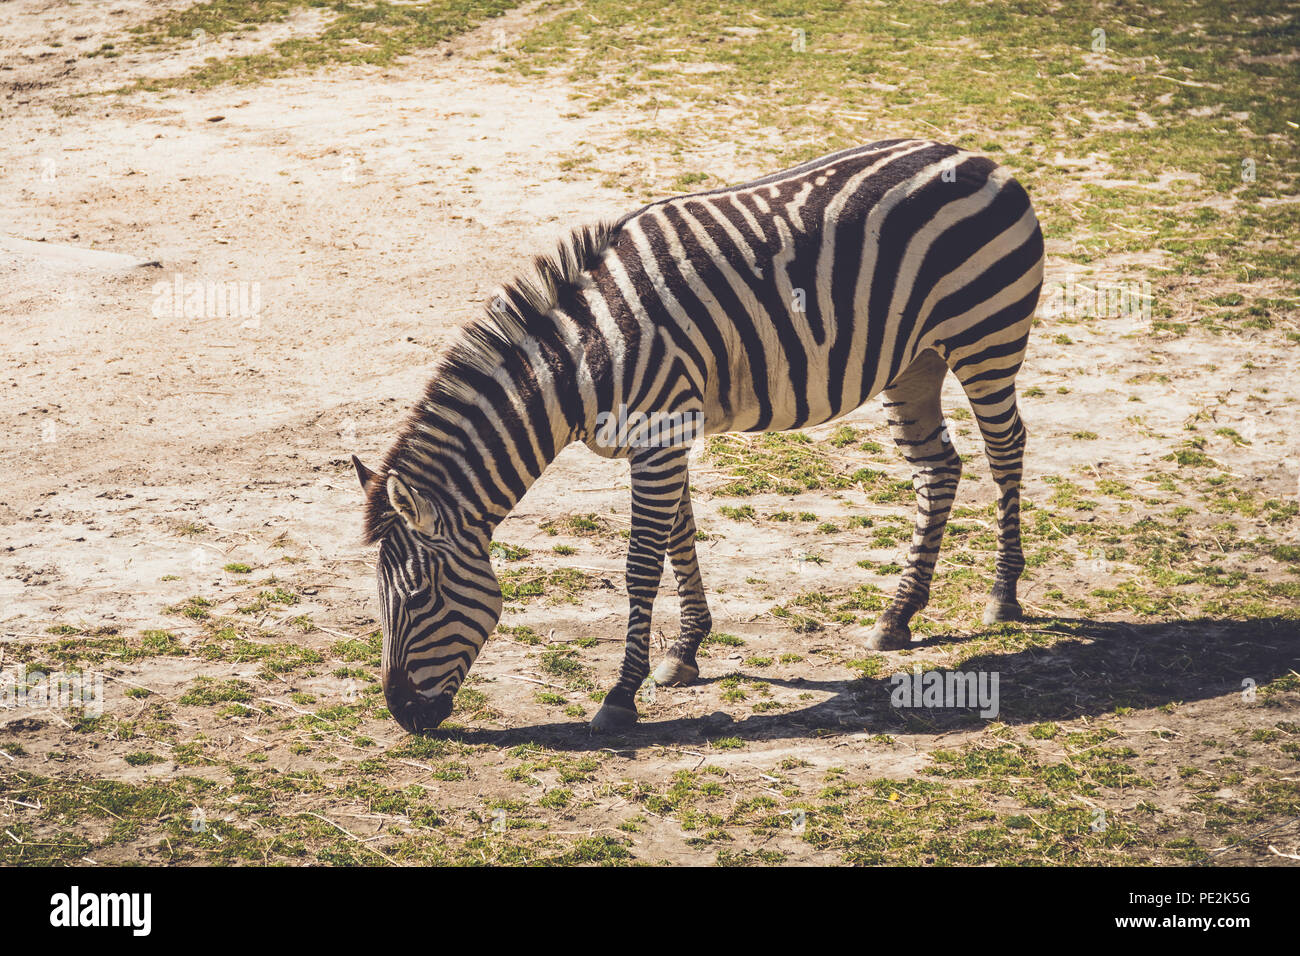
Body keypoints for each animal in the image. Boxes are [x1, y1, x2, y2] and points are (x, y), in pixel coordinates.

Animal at [353, 138, 1045, 733]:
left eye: (420, 597)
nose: (403, 717)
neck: (581, 361)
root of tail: (976, 156)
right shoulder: (666, 434)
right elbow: (680, 539)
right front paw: (684, 651)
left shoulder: (660, 434)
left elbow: (641, 564)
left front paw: (619, 696)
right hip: (914, 359)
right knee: (939, 467)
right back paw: (898, 615)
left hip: (987, 337)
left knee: (1005, 448)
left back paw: (1003, 596)